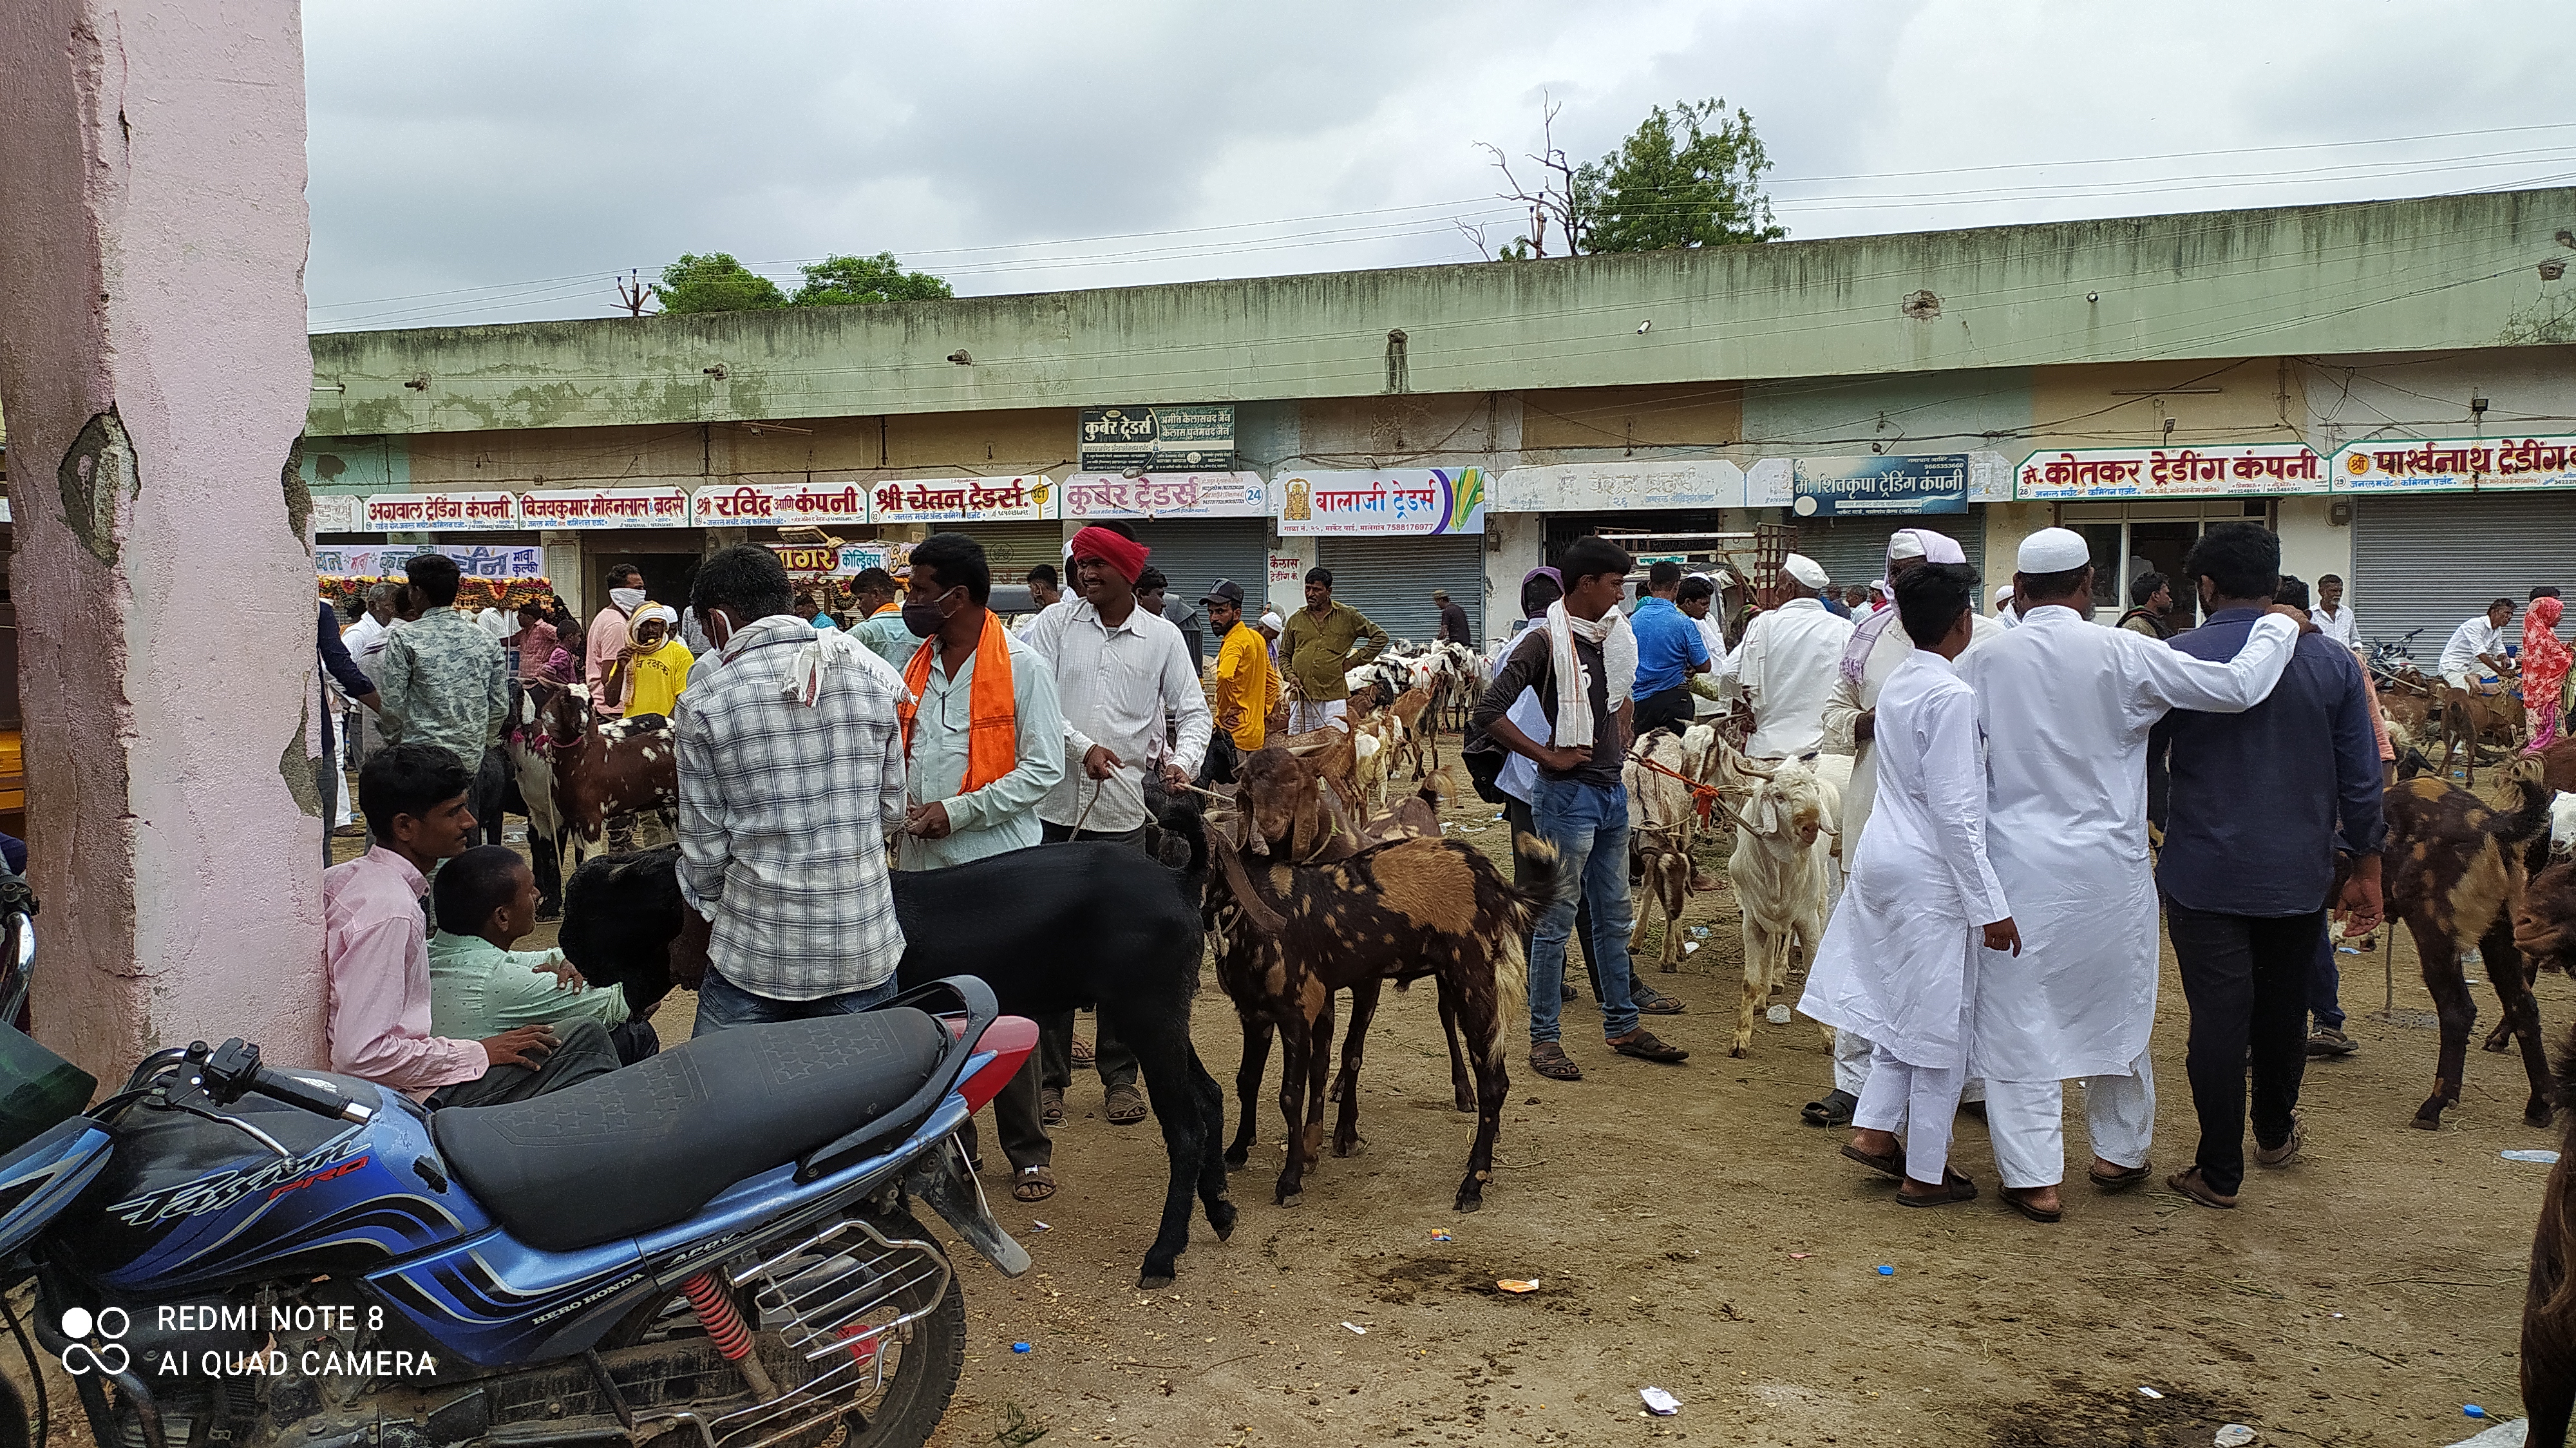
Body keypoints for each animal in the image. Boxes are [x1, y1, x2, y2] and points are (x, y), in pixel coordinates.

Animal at [556, 814, 1236, 1283]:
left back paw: (1164, 1252)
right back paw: (1221, 1210)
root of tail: (1181, 878)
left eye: (598, 916)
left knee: (1185, 1124)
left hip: (1147, 1013)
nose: (563, 949)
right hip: (1161, 1015)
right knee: (1209, 1096)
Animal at [2380, 773, 2566, 1123]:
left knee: (2458, 1011)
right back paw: (2541, 1103)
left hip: (2434, 931)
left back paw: (2435, 1105)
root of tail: (2491, 822)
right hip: (2499, 935)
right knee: (2523, 1006)